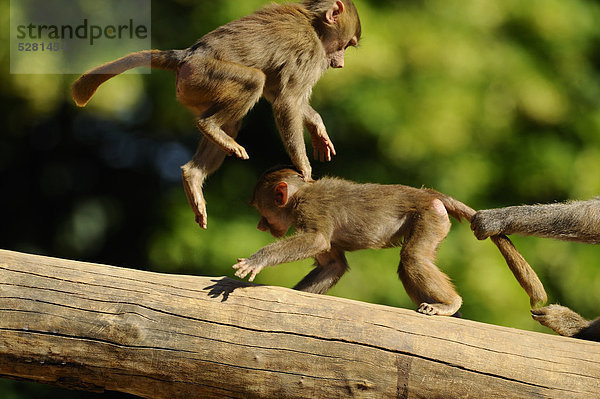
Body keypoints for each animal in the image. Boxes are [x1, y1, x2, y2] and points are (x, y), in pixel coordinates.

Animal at [71, 0, 360, 230]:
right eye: (347, 45)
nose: (340, 63)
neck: (313, 22)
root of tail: (187, 55)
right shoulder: (312, 52)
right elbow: (286, 100)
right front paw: (304, 168)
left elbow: (277, 93)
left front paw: (317, 127)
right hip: (203, 75)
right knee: (253, 81)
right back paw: (209, 127)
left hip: (194, 90)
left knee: (233, 120)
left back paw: (193, 176)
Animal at [232, 167, 548, 318]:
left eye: (262, 213)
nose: (260, 225)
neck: (300, 194)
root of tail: (427, 193)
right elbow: (333, 264)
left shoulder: (309, 209)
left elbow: (317, 239)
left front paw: (256, 260)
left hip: (429, 216)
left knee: (413, 258)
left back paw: (449, 304)